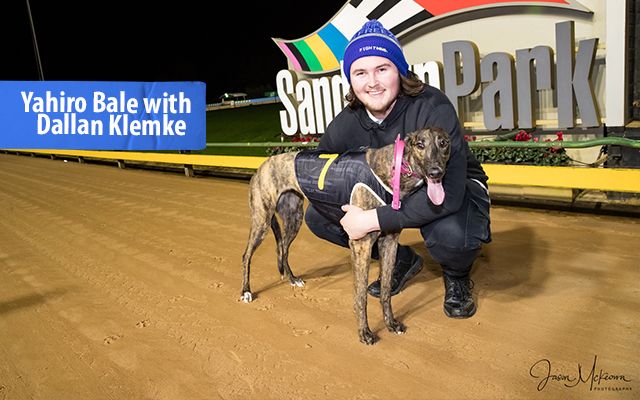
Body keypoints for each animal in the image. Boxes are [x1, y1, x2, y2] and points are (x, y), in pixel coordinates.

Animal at [240, 127, 451, 345]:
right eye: (420, 145)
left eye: (444, 143)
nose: (436, 172)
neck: (393, 169)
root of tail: (263, 165)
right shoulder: (361, 244)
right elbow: (361, 295)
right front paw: (365, 332)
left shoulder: (389, 242)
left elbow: (385, 291)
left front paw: (391, 324)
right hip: (262, 220)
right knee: (247, 255)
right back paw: (246, 291)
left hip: (294, 219)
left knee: (282, 248)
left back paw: (292, 279)